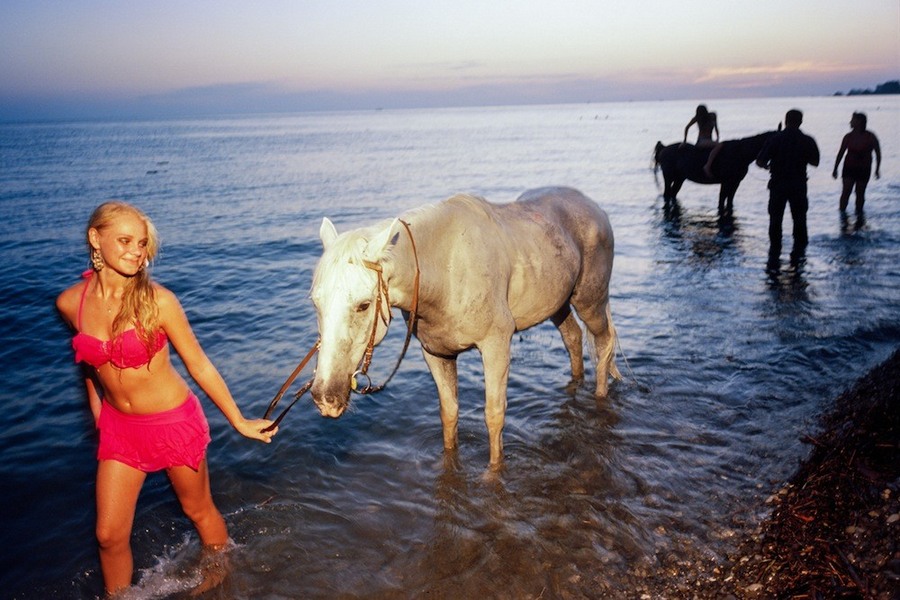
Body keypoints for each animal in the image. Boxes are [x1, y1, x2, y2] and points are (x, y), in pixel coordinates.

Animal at [310, 185, 620, 466]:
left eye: (363, 305)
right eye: (315, 302)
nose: (325, 397)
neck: (446, 269)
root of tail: (592, 206)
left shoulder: (496, 346)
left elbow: (494, 416)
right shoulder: (436, 354)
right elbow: (449, 414)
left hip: (589, 301)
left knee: (603, 343)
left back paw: (600, 395)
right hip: (558, 302)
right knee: (573, 338)